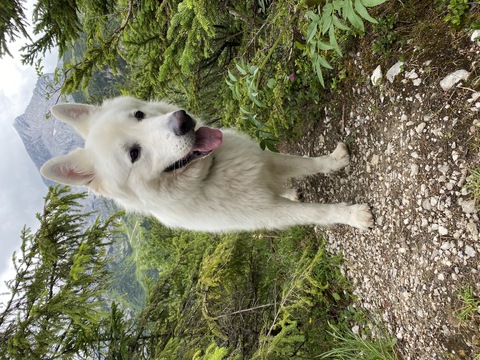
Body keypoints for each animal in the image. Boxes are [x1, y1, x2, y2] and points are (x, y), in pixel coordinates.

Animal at [41, 96, 374, 231]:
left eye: (138, 114)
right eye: (134, 154)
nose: (182, 120)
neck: (208, 176)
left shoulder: (266, 161)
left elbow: (306, 164)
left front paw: (336, 160)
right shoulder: (272, 213)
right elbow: (318, 212)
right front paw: (353, 216)